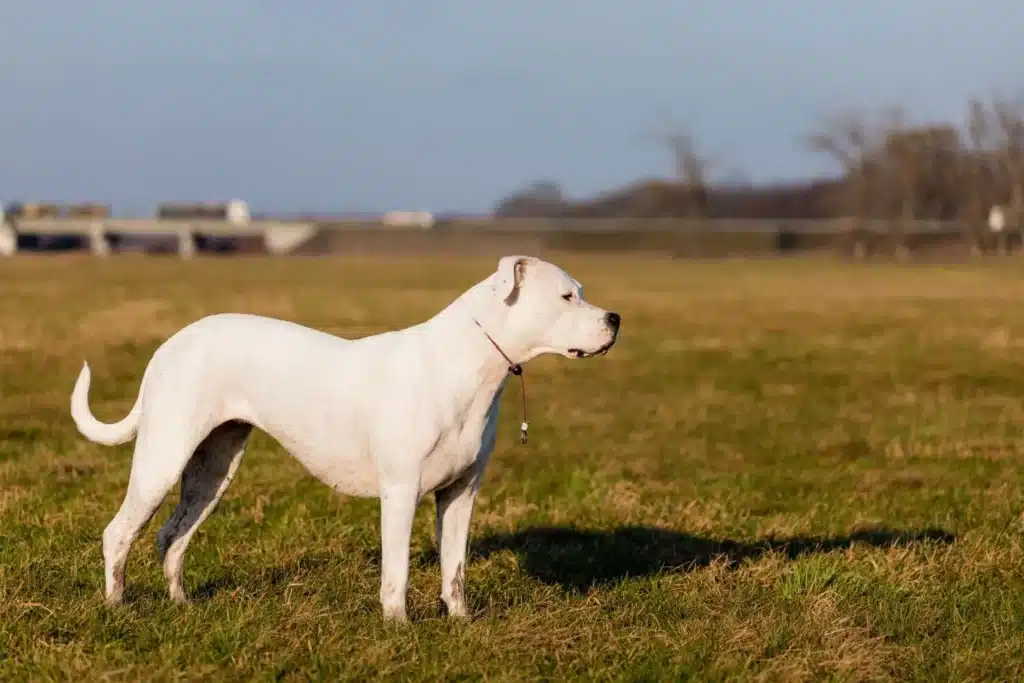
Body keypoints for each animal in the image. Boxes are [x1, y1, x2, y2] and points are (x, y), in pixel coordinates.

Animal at [72, 253, 618, 622]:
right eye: (567, 296)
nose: (615, 318)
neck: (469, 363)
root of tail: (170, 344)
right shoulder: (401, 493)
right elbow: (397, 570)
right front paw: (398, 627)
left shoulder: (461, 494)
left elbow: (455, 566)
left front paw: (461, 622)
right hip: (163, 457)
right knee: (119, 533)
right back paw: (117, 607)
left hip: (213, 468)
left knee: (173, 536)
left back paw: (182, 605)